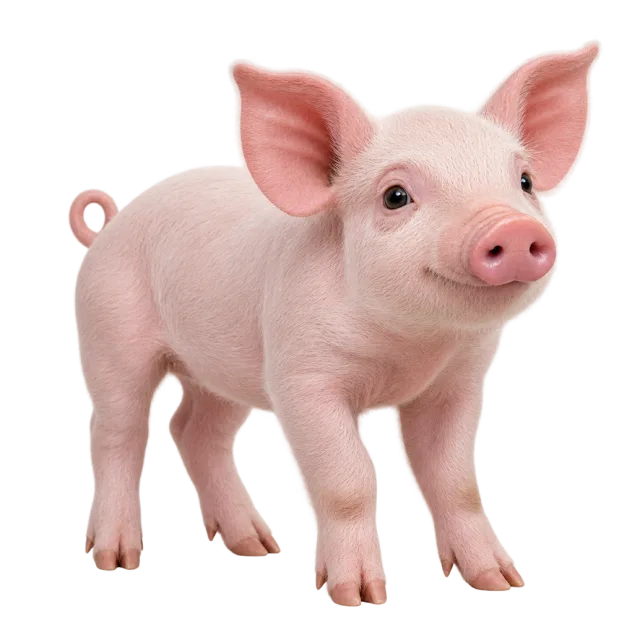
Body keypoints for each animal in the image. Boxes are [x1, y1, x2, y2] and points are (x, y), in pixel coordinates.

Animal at [70, 41, 601, 605]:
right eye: (395, 196)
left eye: (524, 182)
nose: (513, 228)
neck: (408, 346)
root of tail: (111, 224)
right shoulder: (302, 378)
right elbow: (348, 484)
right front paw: (359, 596)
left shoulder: (457, 382)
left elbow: (456, 480)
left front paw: (500, 581)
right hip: (109, 331)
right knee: (117, 434)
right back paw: (117, 559)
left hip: (219, 366)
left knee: (194, 429)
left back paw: (258, 546)